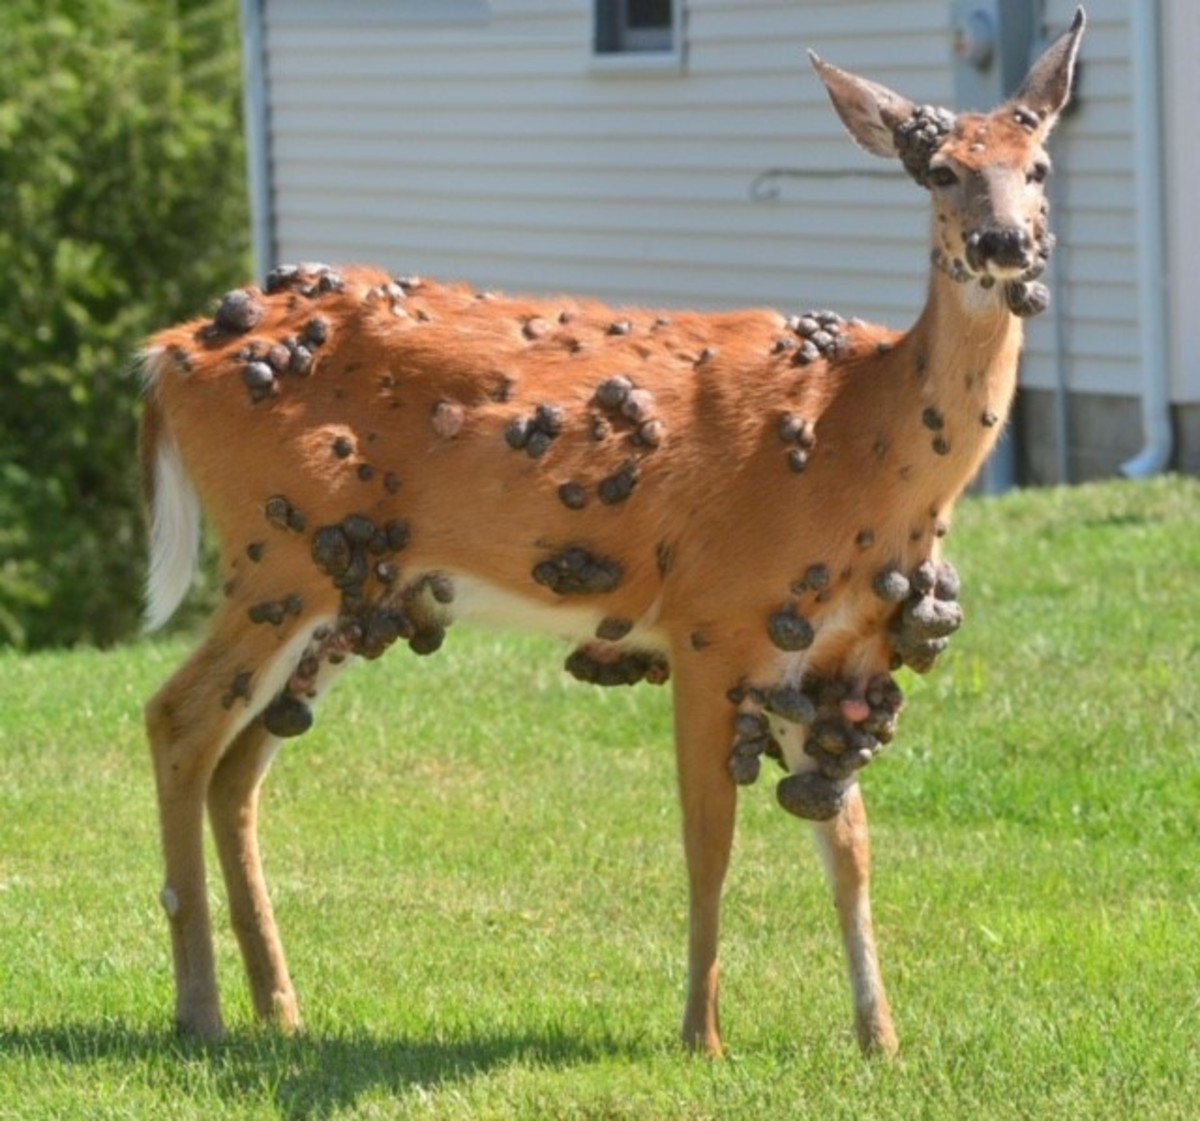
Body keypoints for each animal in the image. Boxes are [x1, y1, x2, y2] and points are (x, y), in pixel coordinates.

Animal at [140, 10, 1089, 1060]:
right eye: (943, 170)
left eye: (1039, 165)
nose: (1004, 241)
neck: (859, 440)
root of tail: (167, 354)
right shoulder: (713, 622)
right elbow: (710, 842)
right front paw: (702, 1037)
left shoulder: (834, 654)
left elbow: (849, 849)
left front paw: (880, 1039)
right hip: (277, 553)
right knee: (177, 719)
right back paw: (199, 1008)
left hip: (351, 588)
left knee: (237, 766)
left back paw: (280, 1007)